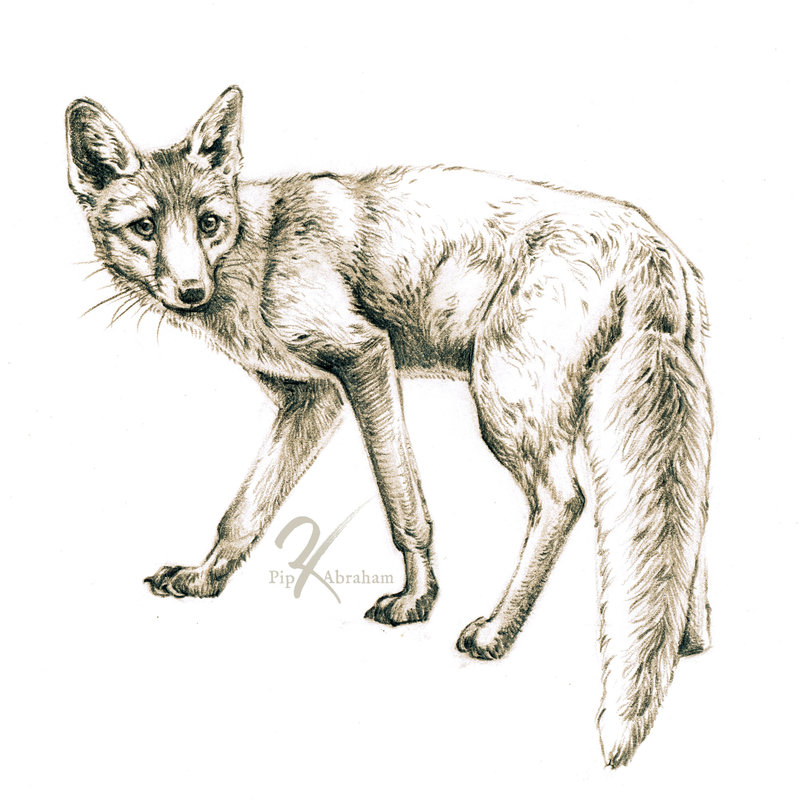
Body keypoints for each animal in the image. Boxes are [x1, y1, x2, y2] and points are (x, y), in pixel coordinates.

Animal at [66, 86, 712, 767]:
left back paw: (496, 632)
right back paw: (687, 641)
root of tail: (653, 244)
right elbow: (244, 512)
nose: (191, 291)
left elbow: (404, 505)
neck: (259, 254)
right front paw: (205, 578)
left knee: (565, 499)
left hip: (503, 401)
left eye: (208, 223)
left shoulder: (365, 358)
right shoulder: (311, 398)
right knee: (691, 517)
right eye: (144, 227)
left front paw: (416, 600)